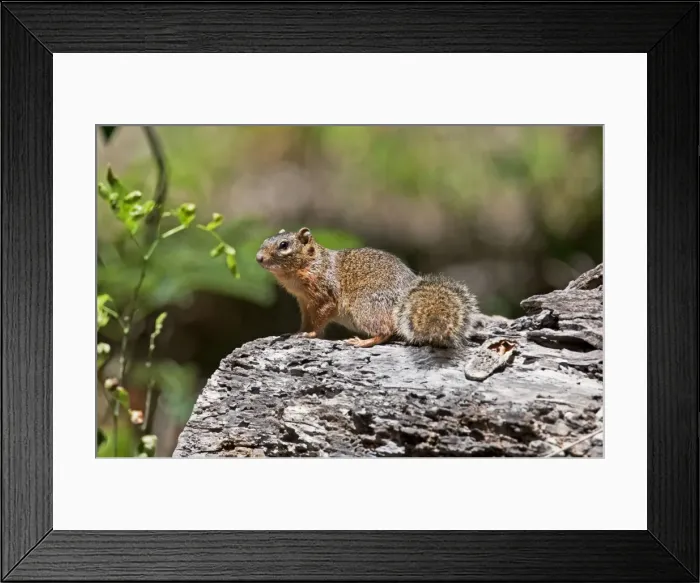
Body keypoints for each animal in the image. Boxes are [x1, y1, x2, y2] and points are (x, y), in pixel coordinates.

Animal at [256, 227, 480, 349]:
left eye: (284, 245)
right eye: (265, 240)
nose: (258, 258)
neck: (311, 263)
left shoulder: (325, 296)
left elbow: (320, 319)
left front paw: (310, 335)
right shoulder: (304, 302)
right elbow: (306, 321)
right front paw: (297, 332)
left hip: (364, 306)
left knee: (385, 331)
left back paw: (362, 342)